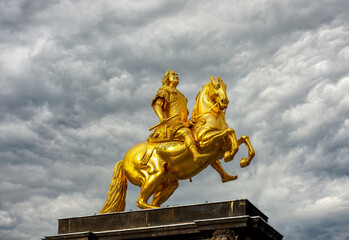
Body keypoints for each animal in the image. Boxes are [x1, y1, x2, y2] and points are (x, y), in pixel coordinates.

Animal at [99, 76, 254, 213]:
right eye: (216, 86)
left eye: (225, 86)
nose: (224, 101)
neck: (209, 118)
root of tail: (124, 159)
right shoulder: (205, 141)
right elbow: (230, 131)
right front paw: (231, 154)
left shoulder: (221, 146)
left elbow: (243, 138)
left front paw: (244, 160)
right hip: (154, 174)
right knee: (141, 202)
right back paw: (161, 210)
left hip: (168, 183)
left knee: (151, 200)